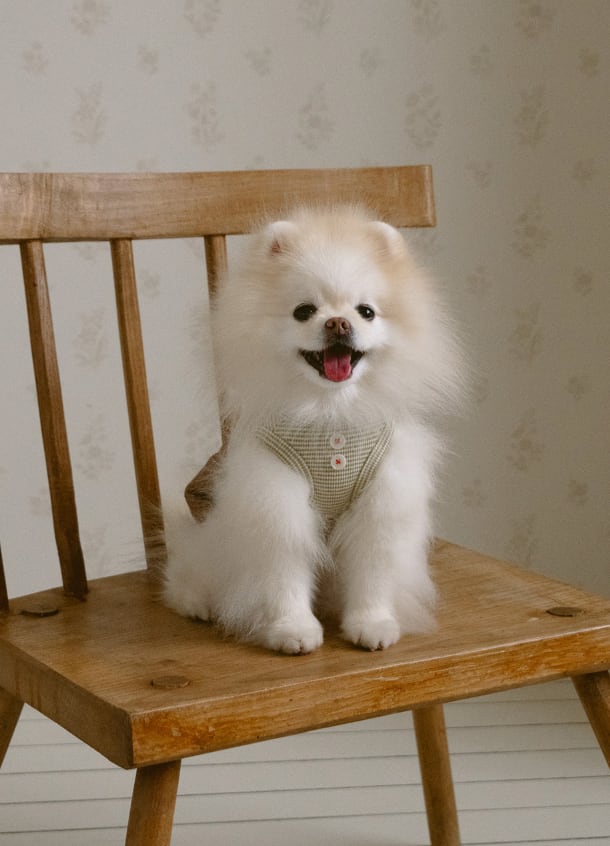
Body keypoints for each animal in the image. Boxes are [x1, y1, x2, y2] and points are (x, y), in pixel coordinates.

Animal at [162, 205, 462, 654]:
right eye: (304, 311)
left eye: (366, 311)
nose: (338, 323)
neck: (330, 415)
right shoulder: (276, 502)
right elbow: (283, 573)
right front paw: (293, 630)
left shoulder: (380, 505)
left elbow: (372, 574)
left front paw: (372, 623)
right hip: (214, 545)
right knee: (192, 571)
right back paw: (197, 602)